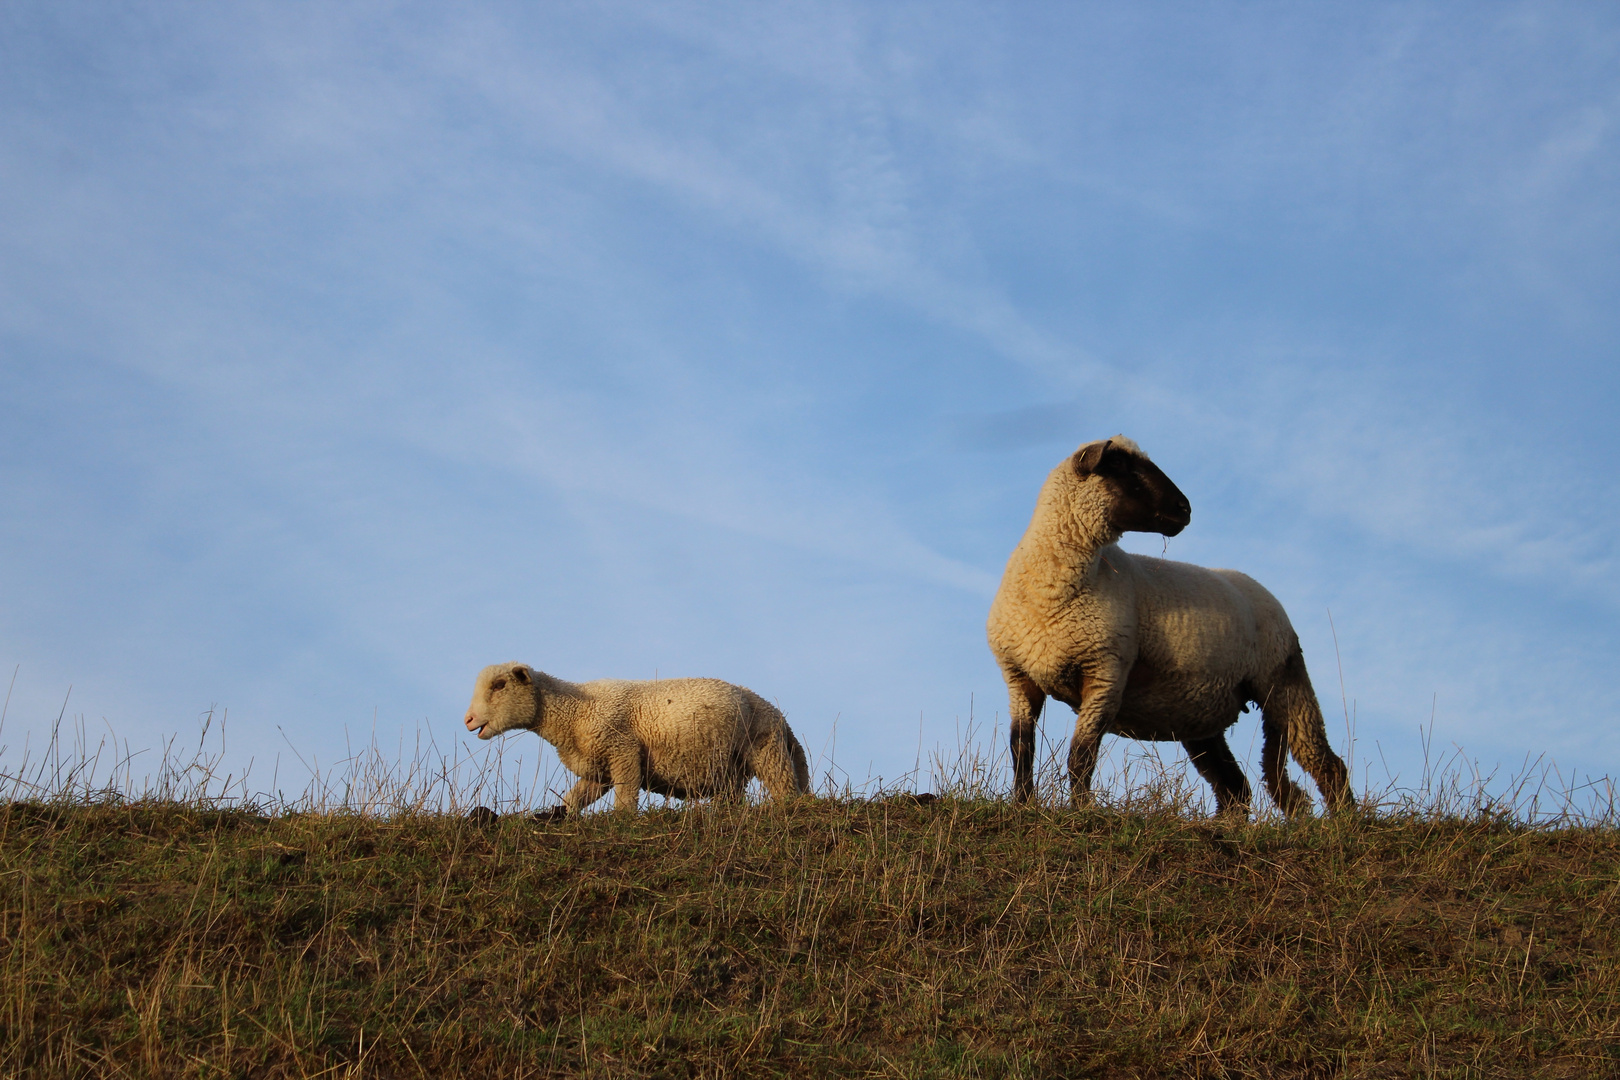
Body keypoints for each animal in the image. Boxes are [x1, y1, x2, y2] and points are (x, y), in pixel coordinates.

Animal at [463, 663, 810, 816]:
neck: (573, 713)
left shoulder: (623, 749)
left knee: (784, 788)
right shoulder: (599, 767)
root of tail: (779, 717)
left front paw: (623, 819)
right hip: (730, 768)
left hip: (767, 749)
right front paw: (558, 814)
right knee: (733, 796)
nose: (468, 720)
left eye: (499, 685)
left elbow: (627, 793)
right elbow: (577, 797)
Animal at [984, 433, 1354, 816]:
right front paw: (1022, 805)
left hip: (1283, 679)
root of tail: (1262, 590)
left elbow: (1081, 756)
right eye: (1122, 465)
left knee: (1324, 762)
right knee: (1235, 787)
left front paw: (1082, 811)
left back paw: (1345, 819)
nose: (1185, 508)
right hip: (1200, 711)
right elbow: (1021, 748)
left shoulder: (1105, 673)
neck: (1054, 588)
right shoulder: (1019, 678)